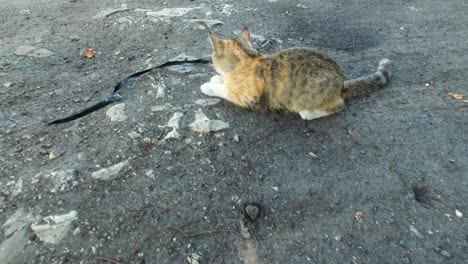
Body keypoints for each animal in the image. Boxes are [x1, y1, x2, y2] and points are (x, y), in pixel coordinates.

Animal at [200, 26, 392, 119]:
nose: (210, 60)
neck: (247, 59)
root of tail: (342, 83)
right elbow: (223, 80)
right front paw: (218, 78)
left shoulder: (249, 99)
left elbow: (225, 91)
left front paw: (209, 85)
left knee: (339, 106)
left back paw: (309, 113)